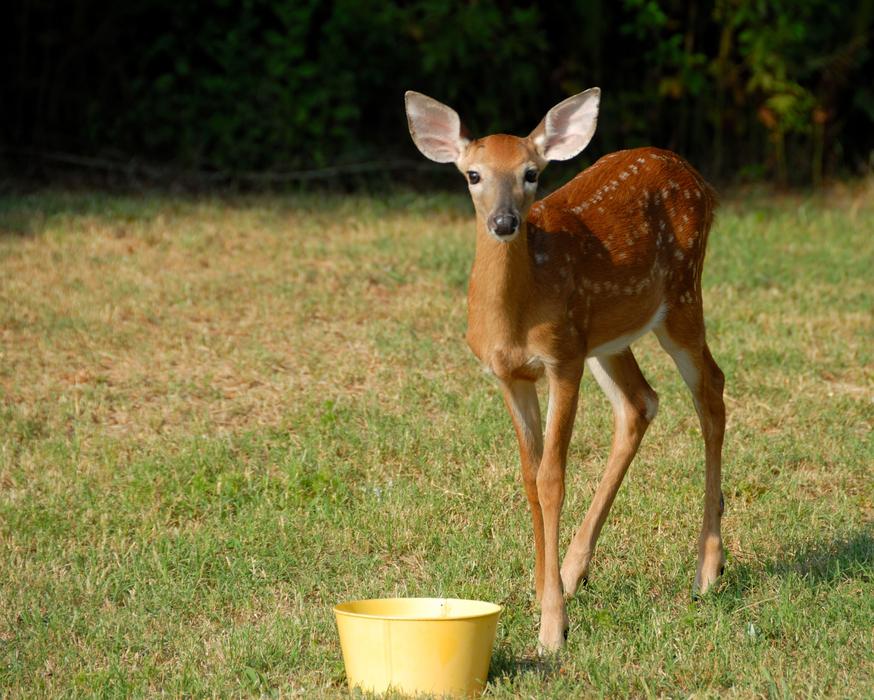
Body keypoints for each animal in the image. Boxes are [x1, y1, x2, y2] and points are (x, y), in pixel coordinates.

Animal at [404, 87, 726, 653]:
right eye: (473, 174)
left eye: (532, 173)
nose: (505, 222)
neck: (515, 317)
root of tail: (695, 175)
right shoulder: (509, 376)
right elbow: (529, 476)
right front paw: (541, 590)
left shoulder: (562, 360)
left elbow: (553, 477)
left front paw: (552, 628)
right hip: (607, 336)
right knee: (641, 402)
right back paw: (577, 570)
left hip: (681, 296)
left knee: (711, 390)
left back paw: (708, 568)